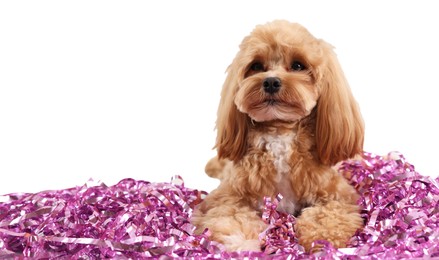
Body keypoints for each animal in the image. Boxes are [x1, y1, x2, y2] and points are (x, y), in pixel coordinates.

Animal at [192, 19, 364, 252]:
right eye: (256, 66)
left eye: (298, 65)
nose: (271, 81)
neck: (279, 133)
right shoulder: (227, 196)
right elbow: (231, 217)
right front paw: (240, 241)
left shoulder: (339, 196)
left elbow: (327, 216)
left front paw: (321, 240)